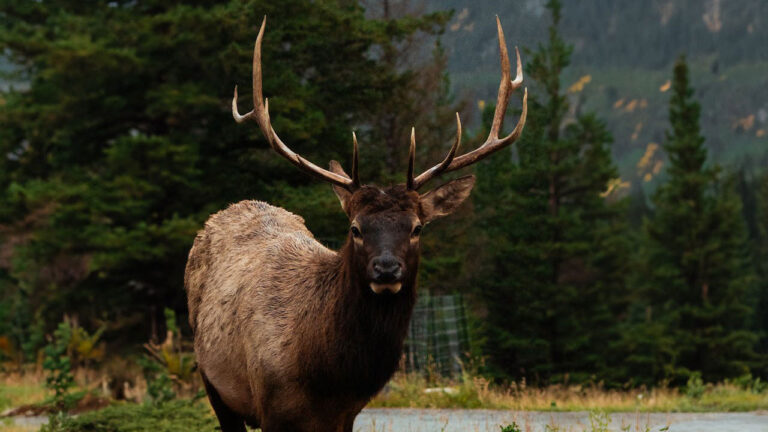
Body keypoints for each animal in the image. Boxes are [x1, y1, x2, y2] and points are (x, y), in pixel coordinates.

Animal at [184, 15, 526, 432]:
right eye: (355, 229)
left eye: (417, 227)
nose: (386, 268)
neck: (326, 376)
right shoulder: (271, 406)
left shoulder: (348, 413)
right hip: (212, 380)